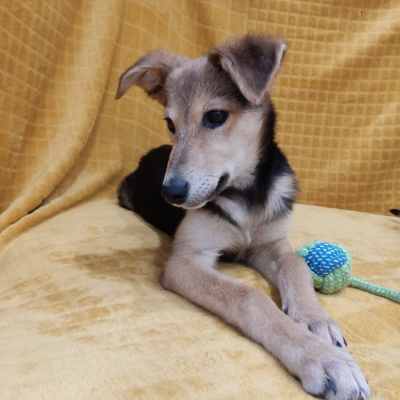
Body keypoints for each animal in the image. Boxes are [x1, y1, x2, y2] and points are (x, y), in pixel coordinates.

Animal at [116, 35, 370, 400]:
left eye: (215, 116)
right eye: (170, 124)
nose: (171, 193)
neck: (246, 194)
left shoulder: (271, 242)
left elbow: (297, 265)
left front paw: (315, 320)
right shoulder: (186, 260)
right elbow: (248, 295)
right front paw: (323, 359)